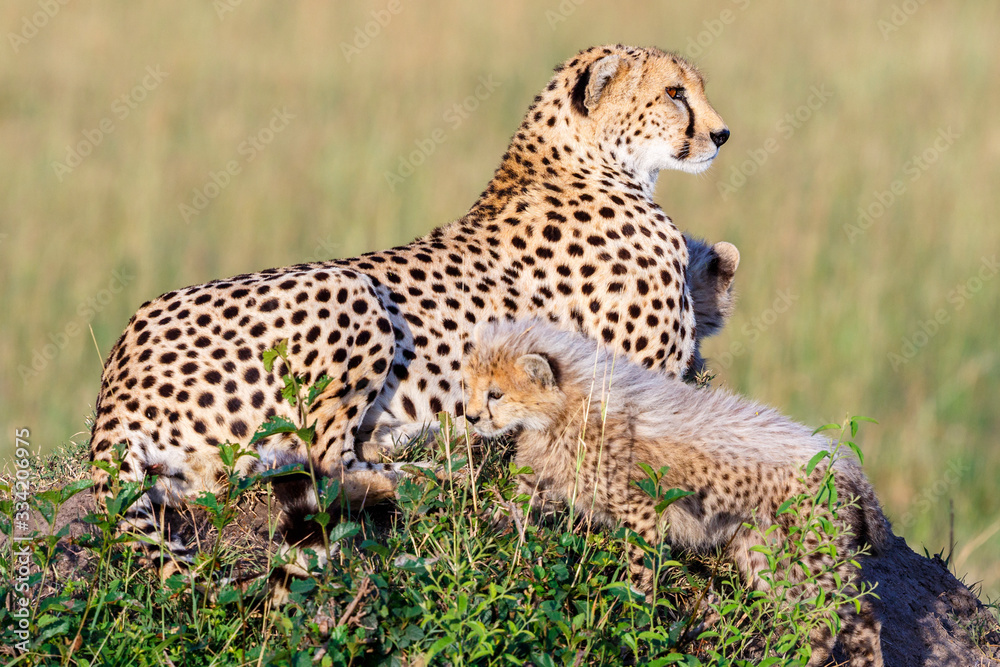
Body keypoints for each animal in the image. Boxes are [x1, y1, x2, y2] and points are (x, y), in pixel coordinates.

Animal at [88, 44, 732, 573]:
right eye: (675, 93)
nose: (722, 135)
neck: (588, 161)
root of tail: (117, 376)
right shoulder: (639, 383)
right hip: (349, 287)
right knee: (324, 464)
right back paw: (430, 475)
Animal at [462, 319, 889, 666]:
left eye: (496, 394)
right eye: (470, 387)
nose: (471, 416)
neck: (564, 408)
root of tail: (845, 459)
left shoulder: (642, 511)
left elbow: (640, 573)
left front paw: (636, 619)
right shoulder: (540, 482)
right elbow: (510, 511)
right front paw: (483, 537)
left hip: (813, 557)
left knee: (853, 616)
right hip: (765, 554)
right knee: (813, 614)